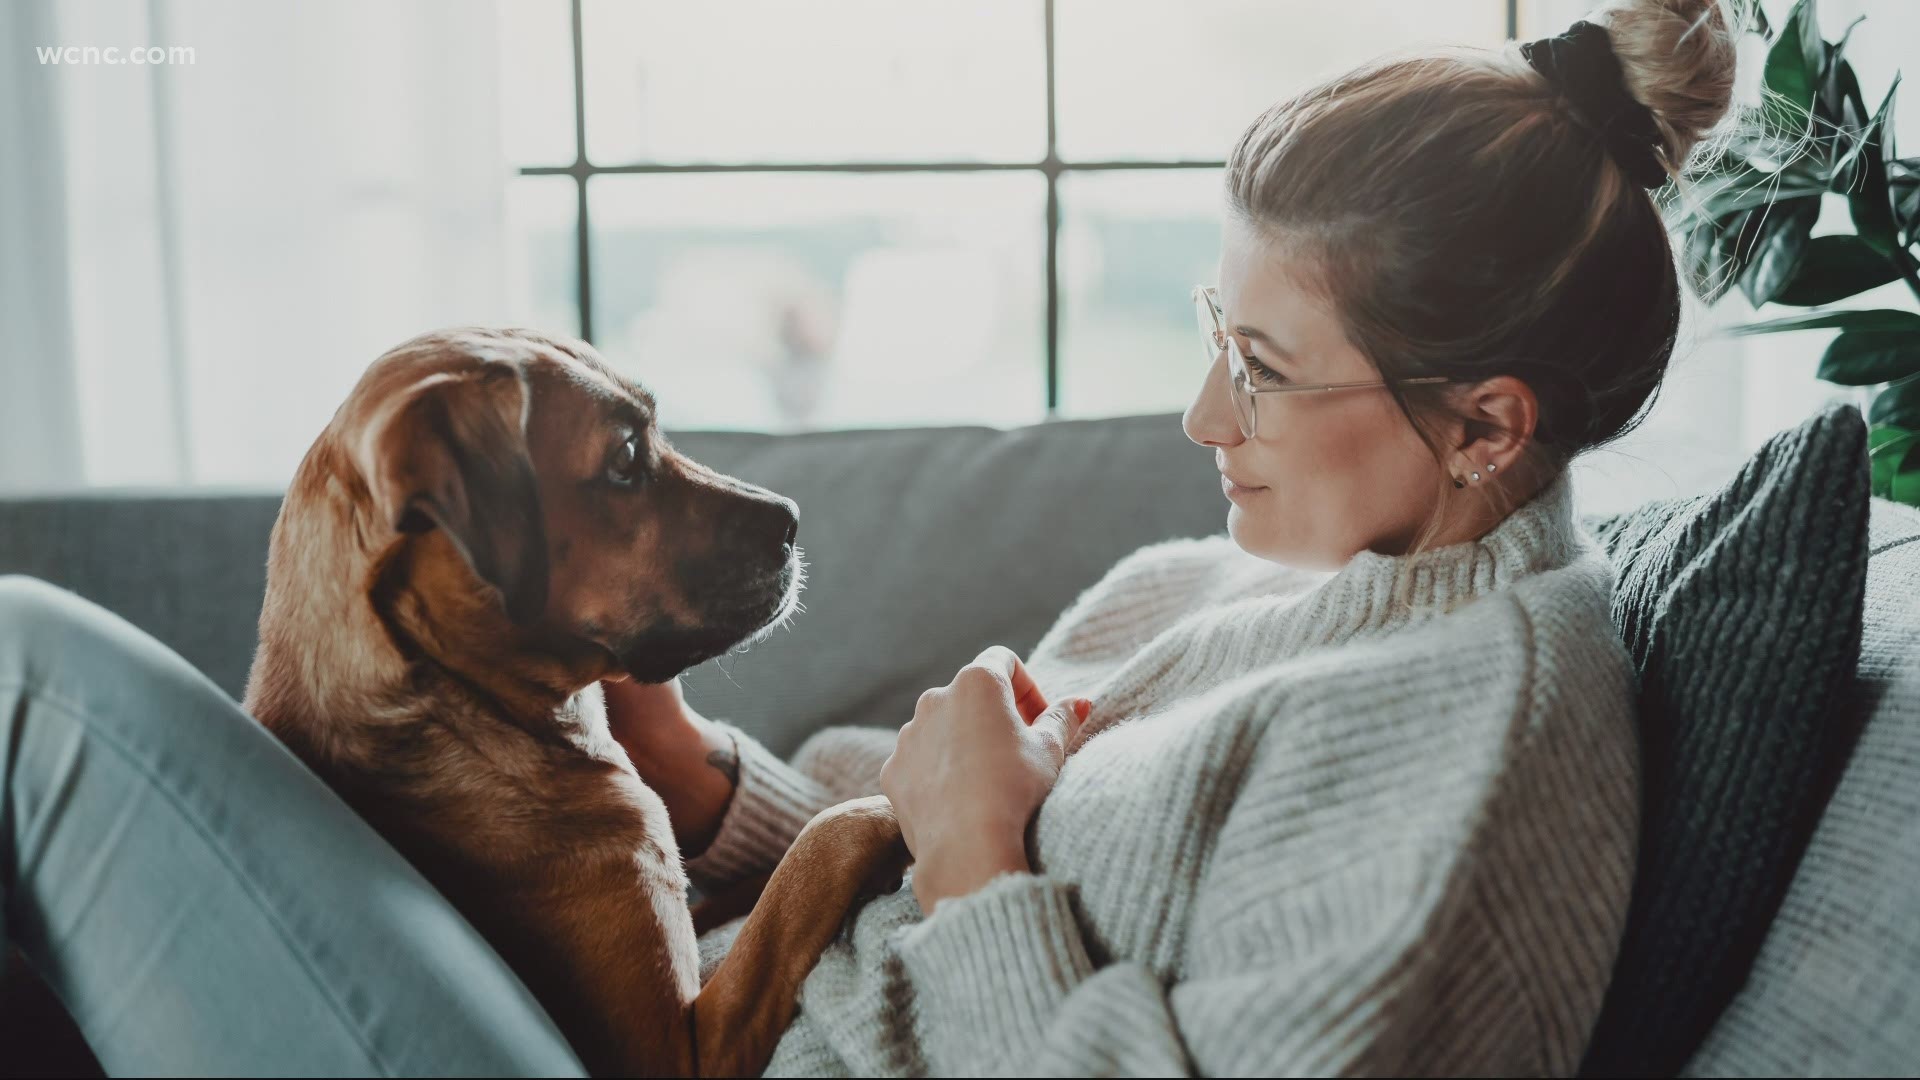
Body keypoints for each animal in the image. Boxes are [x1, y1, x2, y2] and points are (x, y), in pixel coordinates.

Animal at [241, 326, 906, 1068]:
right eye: (625, 458)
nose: (792, 519)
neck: (463, 710)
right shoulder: (677, 1050)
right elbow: (816, 850)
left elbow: (757, 883)